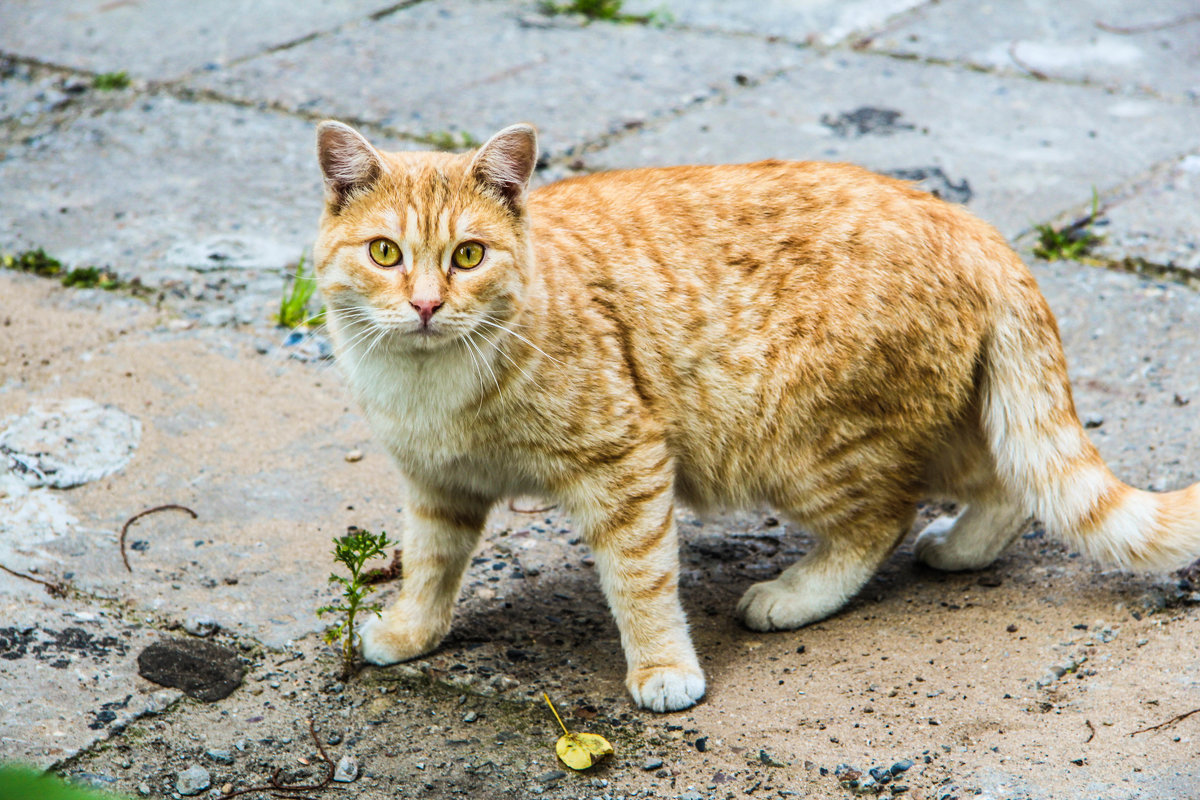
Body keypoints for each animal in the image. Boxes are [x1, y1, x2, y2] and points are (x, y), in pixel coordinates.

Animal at [314, 122, 1200, 710]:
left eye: (468, 255)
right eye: (386, 253)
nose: (427, 306)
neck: (430, 384)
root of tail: (970, 223)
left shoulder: (627, 465)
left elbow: (640, 581)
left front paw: (663, 671)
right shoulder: (437, 484)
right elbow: (430, 566)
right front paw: (412, 633)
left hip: (805, 445)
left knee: (883, 518)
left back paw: (797, 594)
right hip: (933, 418)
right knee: (1007, 481)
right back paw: (962, 550)